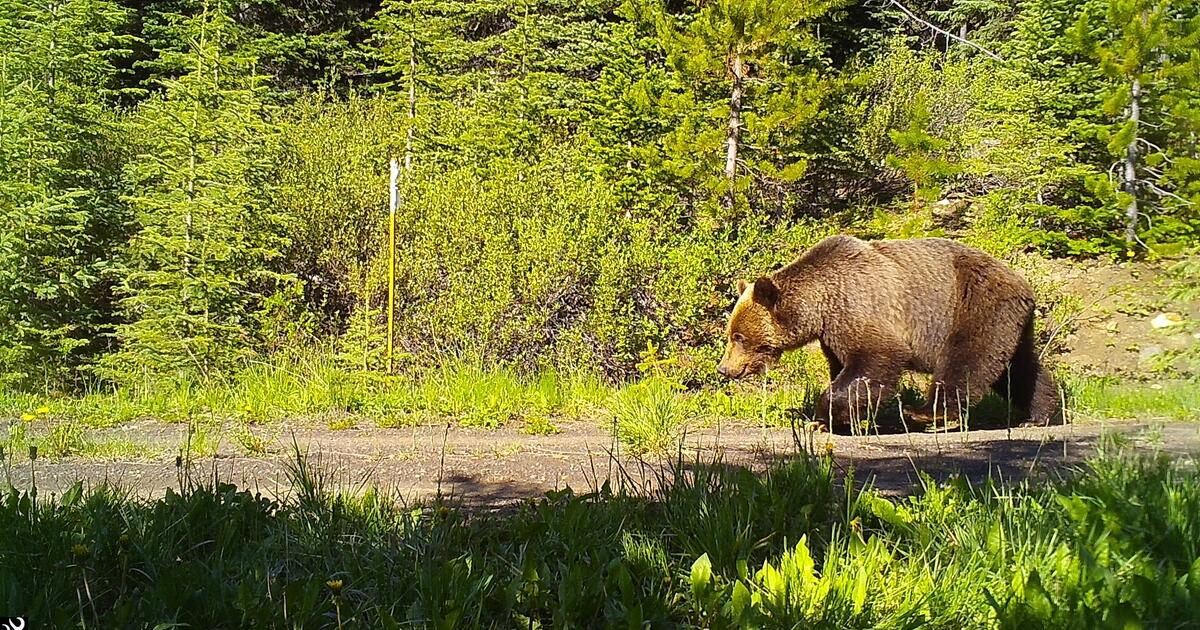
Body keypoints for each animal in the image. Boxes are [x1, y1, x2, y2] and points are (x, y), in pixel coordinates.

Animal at [710, 235, 1060, 427]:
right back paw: (1039, 413)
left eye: (738, 336)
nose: (724, 368)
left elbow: (876, 358)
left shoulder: (858, 306)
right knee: (1017, 368)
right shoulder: (832, 332)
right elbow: (845, 366)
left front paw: (825, 415)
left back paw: (930, 414)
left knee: (967, 358)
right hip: (1007, 321)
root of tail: (1023, 284)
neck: (820, 305)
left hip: (973, 304)